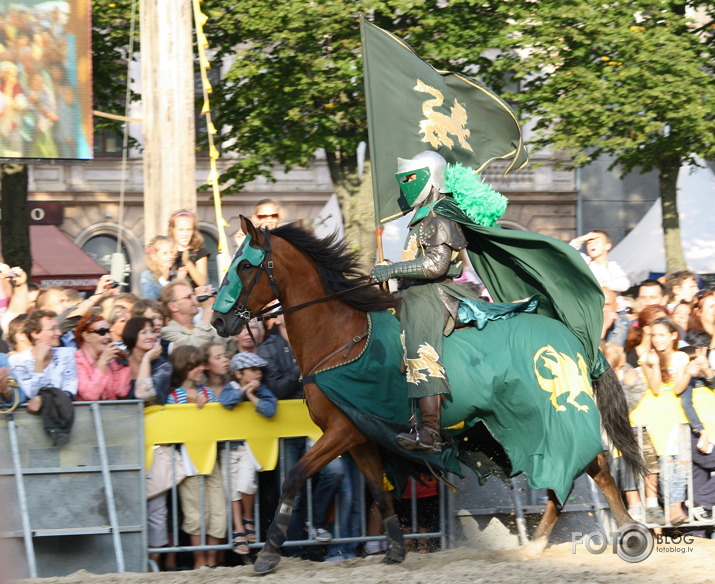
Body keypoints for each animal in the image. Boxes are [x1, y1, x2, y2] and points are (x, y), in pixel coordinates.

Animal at [213, 216, 644, 576]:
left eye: (246, 265)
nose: (218, 320)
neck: (339, 337)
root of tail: (575, 338)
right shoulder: (361, 435)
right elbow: (378, 491)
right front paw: (394, 549)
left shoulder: (341, 431)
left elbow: (294, 477)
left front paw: (268, 554)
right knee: (569, 474)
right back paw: (537, 545)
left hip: (550, 417)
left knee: (595, 467)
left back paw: (629, 535)